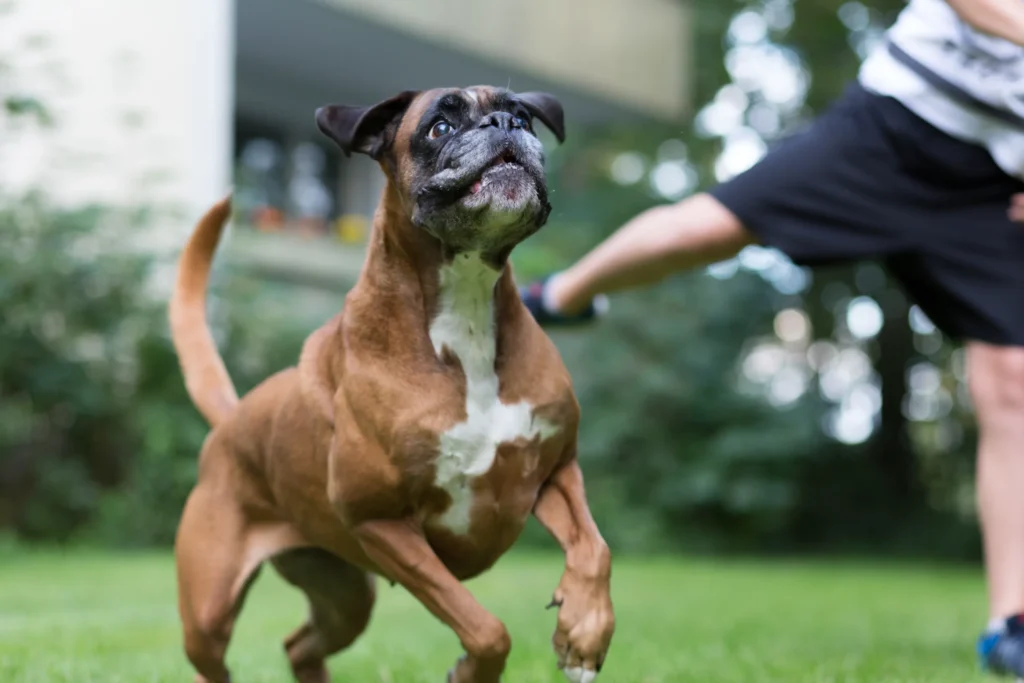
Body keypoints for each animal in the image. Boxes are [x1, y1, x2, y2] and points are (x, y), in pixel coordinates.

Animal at [171, 85, 610, 683]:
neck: (466, 309)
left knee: (299, 646)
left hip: (345, 598)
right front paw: (471, 672)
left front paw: (584, 632)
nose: (504, 123)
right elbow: (485, 627)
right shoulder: (382, 523)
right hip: (209, 616)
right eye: (439, 127)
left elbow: (594, 549)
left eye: (523, 116)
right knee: (215, 657)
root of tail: (232, 420)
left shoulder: (555, 469)